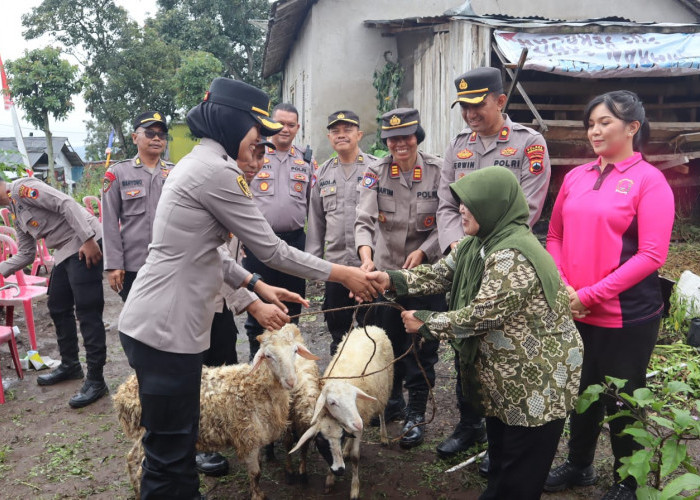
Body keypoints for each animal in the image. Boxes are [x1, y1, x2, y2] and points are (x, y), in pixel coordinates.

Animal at [113, 324, 318, 500]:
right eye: (268, 356)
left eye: (294, 351)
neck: (256, 386)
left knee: (131, 460)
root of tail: (122, 393)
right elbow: (256, 473)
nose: (291, 381)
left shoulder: (255, 436)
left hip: (140, 436)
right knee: (140, 469)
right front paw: (258, 495)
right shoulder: (248, 437)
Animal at [290, 324, 394, 500]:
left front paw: (354, 488)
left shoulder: (359, 418)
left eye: (354, 398)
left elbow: (355, 457)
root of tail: (372, 327)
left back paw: (384, 436)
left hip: (385, 386)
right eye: (332, 402)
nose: (358, 424)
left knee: (381, 411)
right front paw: (330, 480)